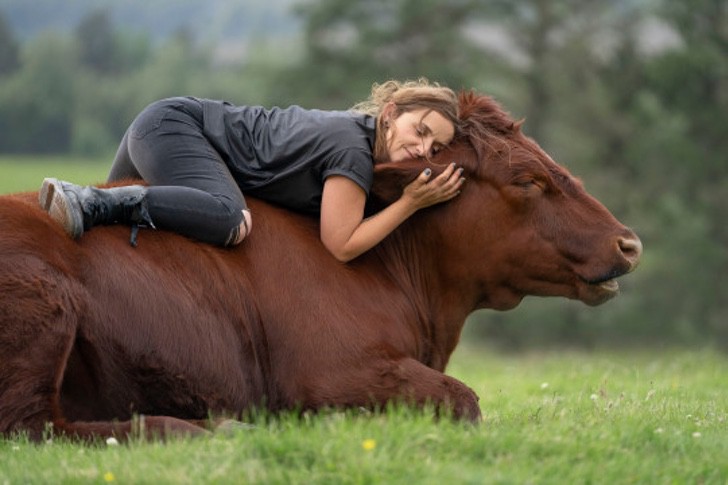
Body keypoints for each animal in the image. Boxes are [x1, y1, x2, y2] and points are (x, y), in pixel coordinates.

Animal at [0, 92, 636, 440]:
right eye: (528, 180)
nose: (629, 243)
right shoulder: (329, 372)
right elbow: (464, 399)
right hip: (44, 311)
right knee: (34, 427)